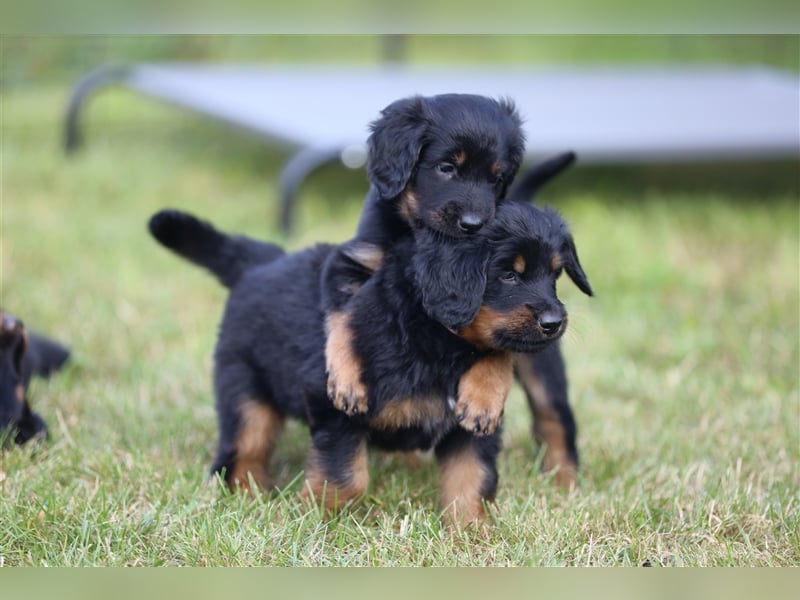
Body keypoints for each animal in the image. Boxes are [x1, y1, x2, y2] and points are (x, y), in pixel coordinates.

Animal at [148, 198, 592, 524]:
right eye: (508, 275)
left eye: (555, 275)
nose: (555, 323)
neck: (438, 343)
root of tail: (260, 263)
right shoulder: (336, 406)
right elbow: (346, 477)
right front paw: (316, 522)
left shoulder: (473, 427)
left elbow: (472, 482)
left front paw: (471, 536)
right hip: (244, 388)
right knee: (242, 449)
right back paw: (246, 497)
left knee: (554, 421)